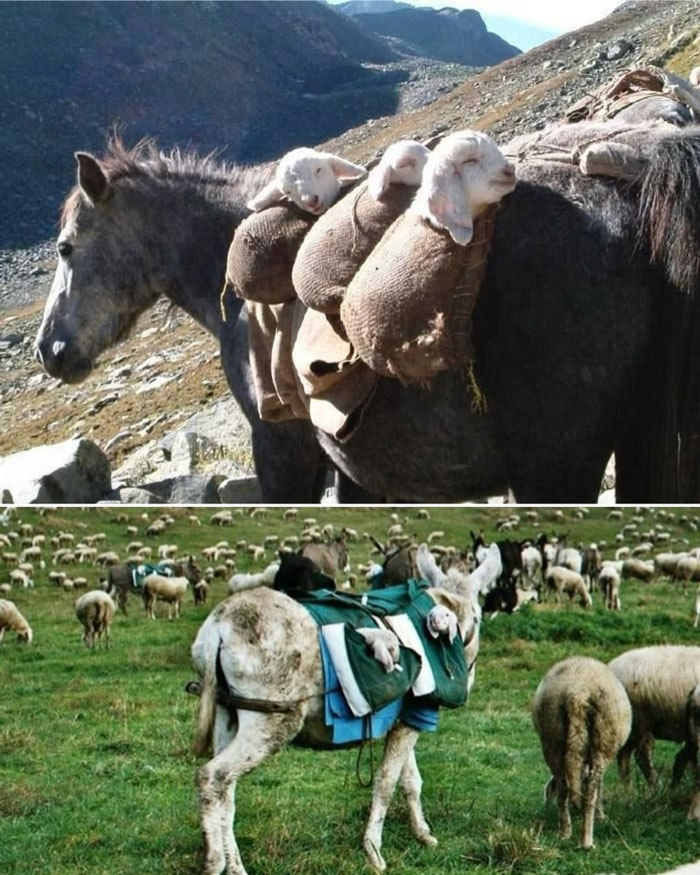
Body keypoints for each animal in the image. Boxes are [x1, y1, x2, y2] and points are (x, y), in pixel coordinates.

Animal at [533, 657, 631, 849]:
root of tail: (577, 693)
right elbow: (600, 785)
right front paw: (601, 815)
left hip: (552, 736)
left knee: (563, 786)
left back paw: (565, 833)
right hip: (603, 738)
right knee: (591, 788)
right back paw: (587, 841)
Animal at [608, 645, 700, 820]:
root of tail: (612, 668)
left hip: (630, 726)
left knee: (623, 756)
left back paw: (628, 792)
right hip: (641, 719)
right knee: (642, 757)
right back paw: (657, 789)